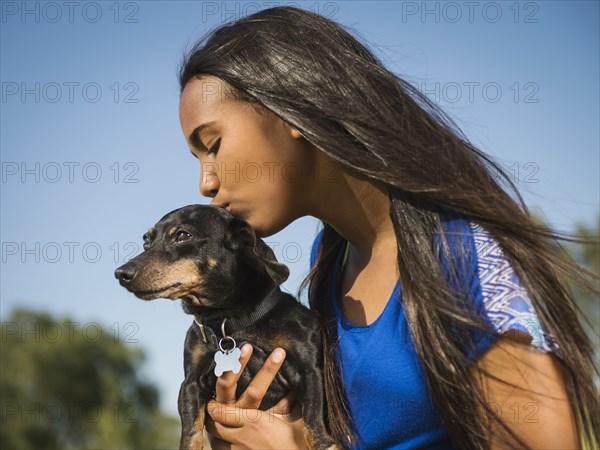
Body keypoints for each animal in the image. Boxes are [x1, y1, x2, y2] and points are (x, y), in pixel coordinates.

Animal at [115, 206, 340, 448]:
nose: (121, 274)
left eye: (183, 235)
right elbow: (191, 434)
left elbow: (312, 420)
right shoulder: (191, 385)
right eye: (146, 241)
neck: (229, 322)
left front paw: (324, 443)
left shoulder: (308, 372)